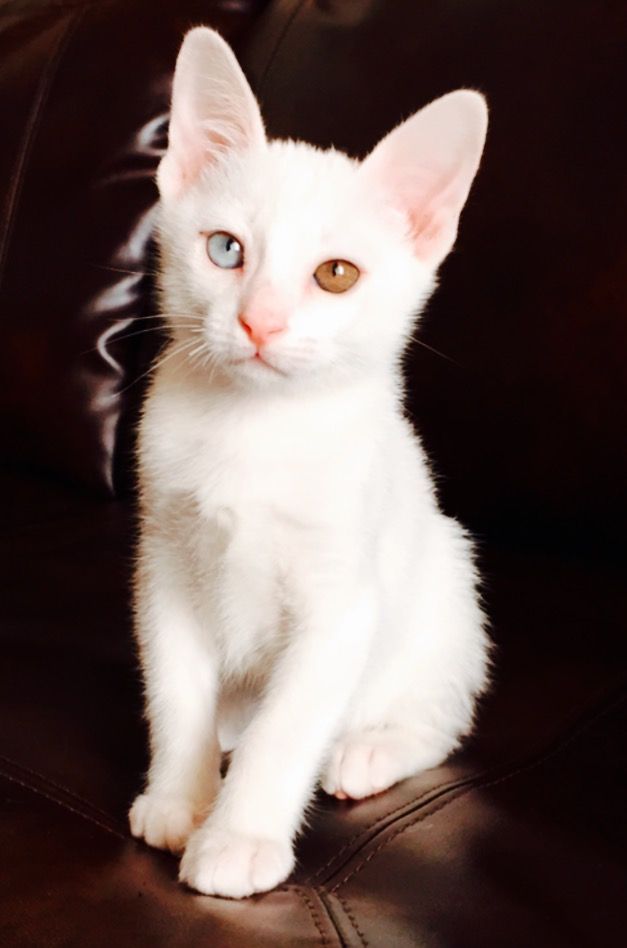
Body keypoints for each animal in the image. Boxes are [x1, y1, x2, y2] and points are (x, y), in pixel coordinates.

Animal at [127, 25, 490, 900]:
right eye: (225, 249)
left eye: (336, 275)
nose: (259, 322)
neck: (254, 432)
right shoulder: (163, 564)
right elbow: (176, 690)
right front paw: (179, 797)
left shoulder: (342, 603)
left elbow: (289, 726)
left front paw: (239, 838)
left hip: (446, 575)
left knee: (440, 712)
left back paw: (369, 750)